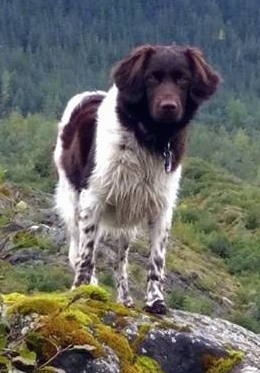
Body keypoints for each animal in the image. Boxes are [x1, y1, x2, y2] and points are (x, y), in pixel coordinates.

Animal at [53, 44, 220, 314]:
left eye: (183, 79)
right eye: (152, 77)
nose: (169, 106)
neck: (149, 138)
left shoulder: (162, 207)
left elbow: (156, 260)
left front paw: (155, 301)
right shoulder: (92, 199)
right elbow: (87, 257)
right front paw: (81, 291)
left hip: (126, 220)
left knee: (120, 261)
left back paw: (125, 299)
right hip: (73, 203)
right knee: (79, 250)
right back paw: (93, 286)